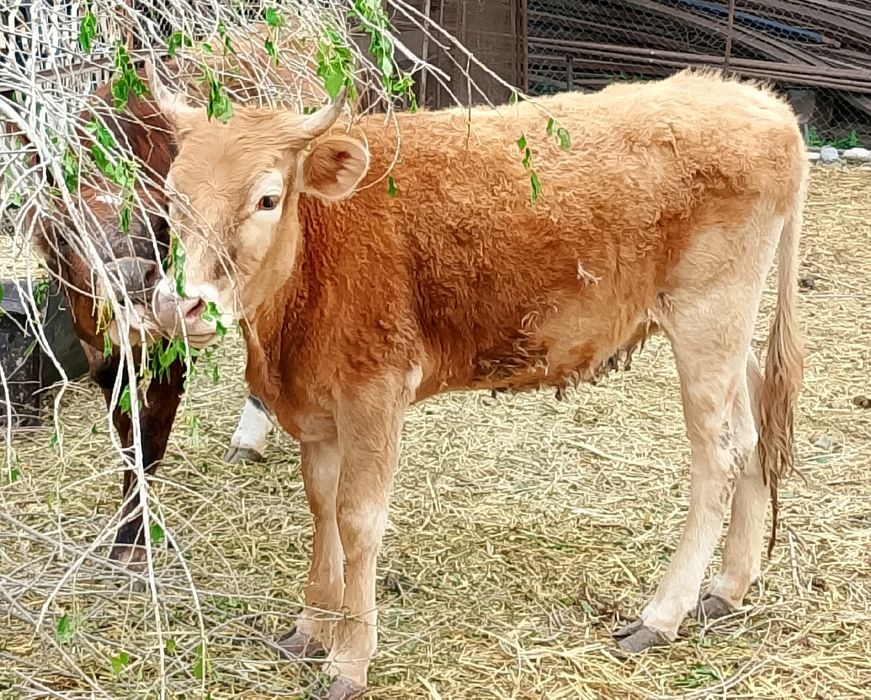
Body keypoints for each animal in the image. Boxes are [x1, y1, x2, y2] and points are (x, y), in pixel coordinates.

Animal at [143, 65, 807, 699]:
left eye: (267, 198)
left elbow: (358, 519)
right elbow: (321, 506)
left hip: (707, 318)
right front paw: (310, 628)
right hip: (728, 336)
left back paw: (662, 614)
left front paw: (350, 661)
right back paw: (727, 587)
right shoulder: (319, 408)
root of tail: (760, 101)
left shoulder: (374, 393)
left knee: (718, 455)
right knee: (753, 432)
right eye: (173, 195)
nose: (182, 304)